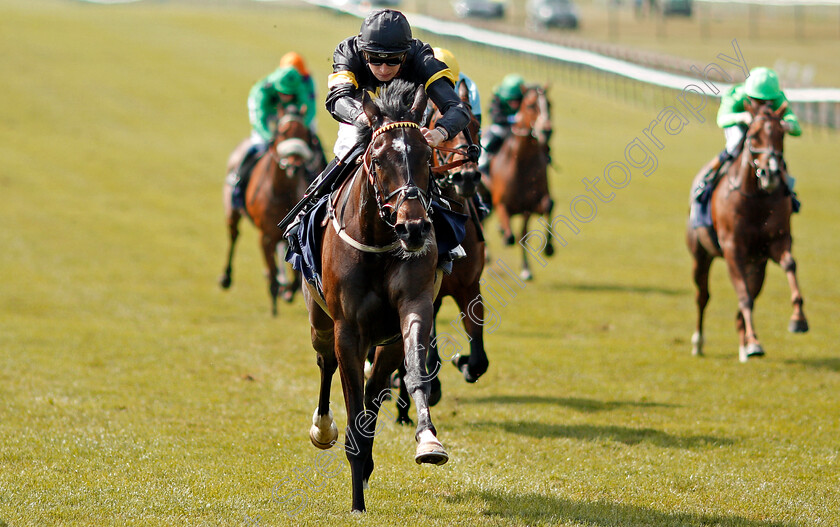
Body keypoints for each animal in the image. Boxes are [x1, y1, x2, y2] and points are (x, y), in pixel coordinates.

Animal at [302, 82, 446, 516]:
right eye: (379, 159)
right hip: (320, 321)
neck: (381, 241)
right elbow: (351, 406)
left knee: (375, 387)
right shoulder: (348, 330)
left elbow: (414, 374)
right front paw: (357, 502)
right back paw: (323, 428)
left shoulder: (413, 307)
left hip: (386, 343)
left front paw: (428, 441)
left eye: (426, 155)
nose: (414, 227)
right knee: (326, 364)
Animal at [488, 84, 556, 280]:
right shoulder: (501, 202)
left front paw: (548, 248)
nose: (547, 130)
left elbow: (548, 206)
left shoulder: (531, 205)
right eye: (531, 105)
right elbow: (510, 236)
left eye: (550, 104)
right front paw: (504, 234)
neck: (522, 162)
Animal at [684, 99, 812, 364]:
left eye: (781, 134)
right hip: (701, 255)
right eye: (753, 136)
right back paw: (699, 342)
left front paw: (798, 319)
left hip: (757, 265)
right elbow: (744, 297)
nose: (771, 173)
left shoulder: (776, 243)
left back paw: (744, 344)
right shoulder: (733, 249)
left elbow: (789, 265)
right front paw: (753, 341)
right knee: (703, 296)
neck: (756, 198)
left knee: (748, 295)